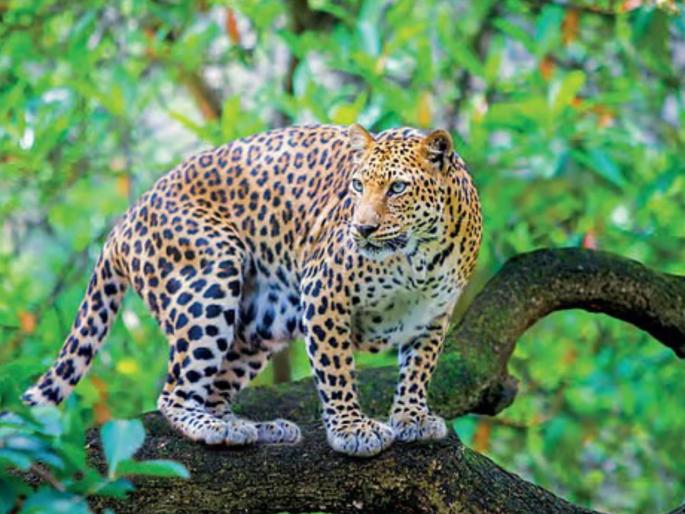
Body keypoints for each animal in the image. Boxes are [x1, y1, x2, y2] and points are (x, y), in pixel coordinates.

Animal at [23, 123, 482, 457]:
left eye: (397, 188)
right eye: (356, 186)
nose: (362, 228)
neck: (419, 256)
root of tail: (124, 220)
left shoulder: (433, 316)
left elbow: (418, 370)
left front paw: (412, 418)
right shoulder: (323, 294)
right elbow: (336, 369)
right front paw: (352, 429)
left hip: (260, 324)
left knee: (213, 391)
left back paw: (256, 428)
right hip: (210, 279)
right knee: (175, 394)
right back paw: (213, 429)